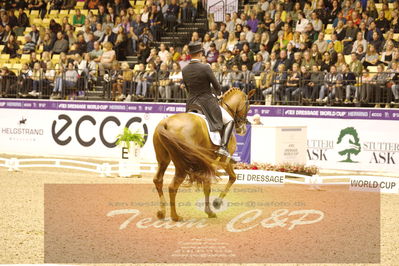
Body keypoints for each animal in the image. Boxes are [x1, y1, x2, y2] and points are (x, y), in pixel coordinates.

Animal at [153, 88, 256, 221]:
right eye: (248, 106)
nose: (242, 129)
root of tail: (165, 123)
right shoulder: (223, 160)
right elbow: (231, 178)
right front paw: (215, 205)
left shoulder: (208, 161)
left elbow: (208, 185)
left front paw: (210, 209)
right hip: (182, 164)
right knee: (172, 186)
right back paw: (175, 216)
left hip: (164, 159)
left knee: (158, 180)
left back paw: (162, 212)